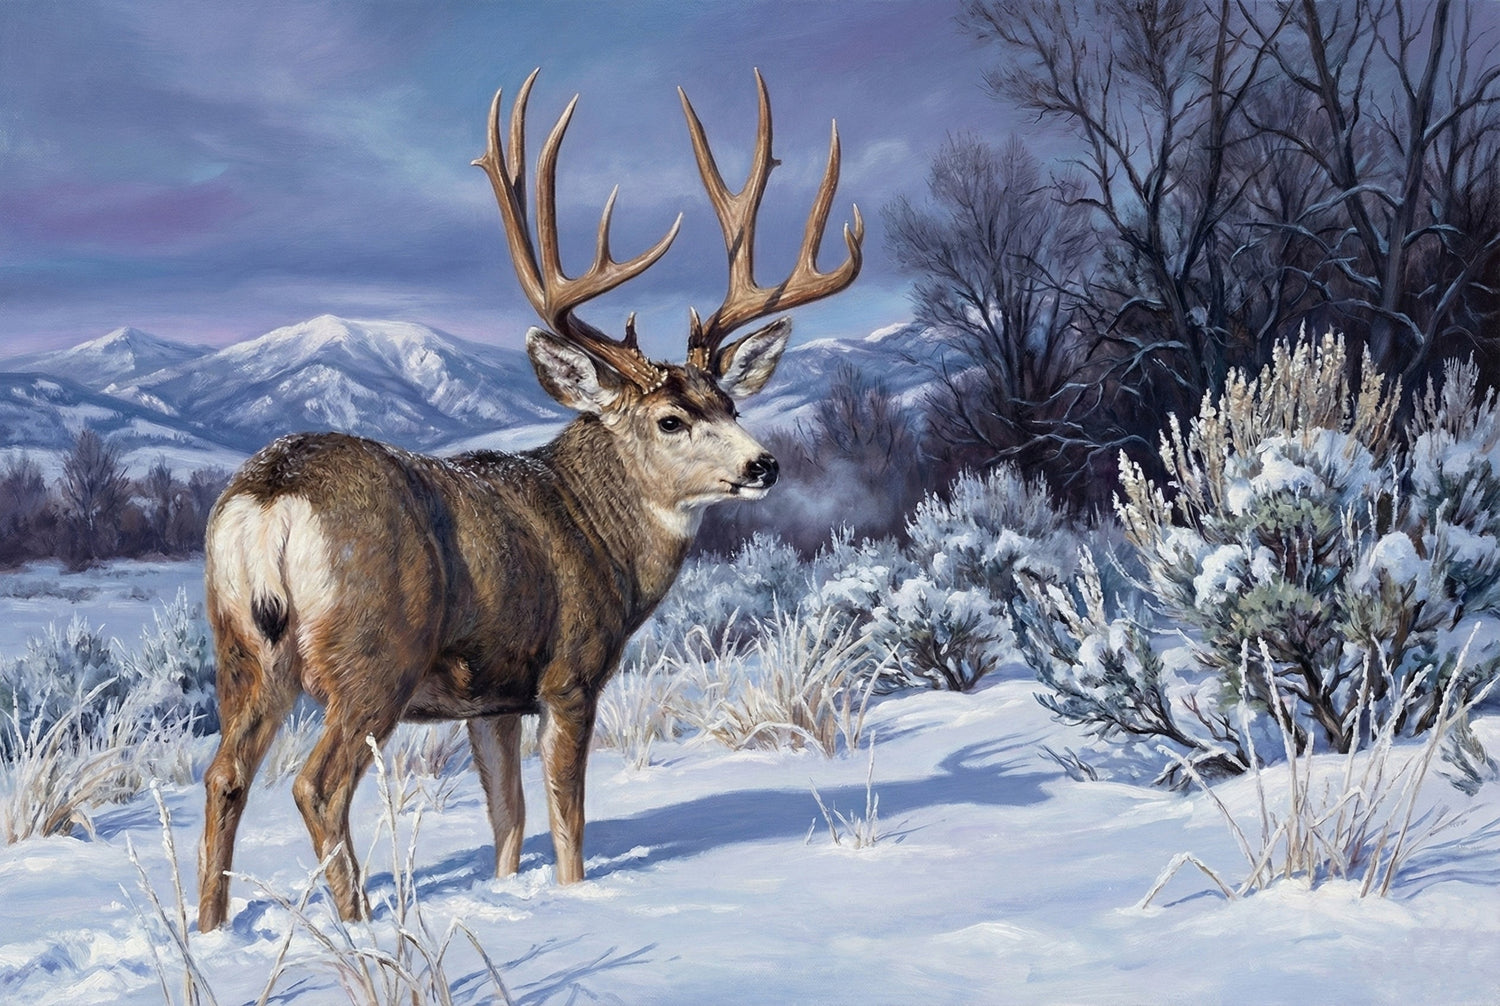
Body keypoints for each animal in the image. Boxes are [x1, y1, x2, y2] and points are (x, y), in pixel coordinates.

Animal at [195, 68, 862, 931]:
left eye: (732, 403)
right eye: (671, 418)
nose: (763, 464)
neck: (599, 532)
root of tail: (272, 494)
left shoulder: (493, 698)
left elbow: (506, 819)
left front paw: (508, 893)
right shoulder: (568, 672)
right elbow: (565, 818)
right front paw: (573, 898)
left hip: (243, 648)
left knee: (224, 776)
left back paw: (208, 931)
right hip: (373, 651)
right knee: (318, 785)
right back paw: (361, 925)